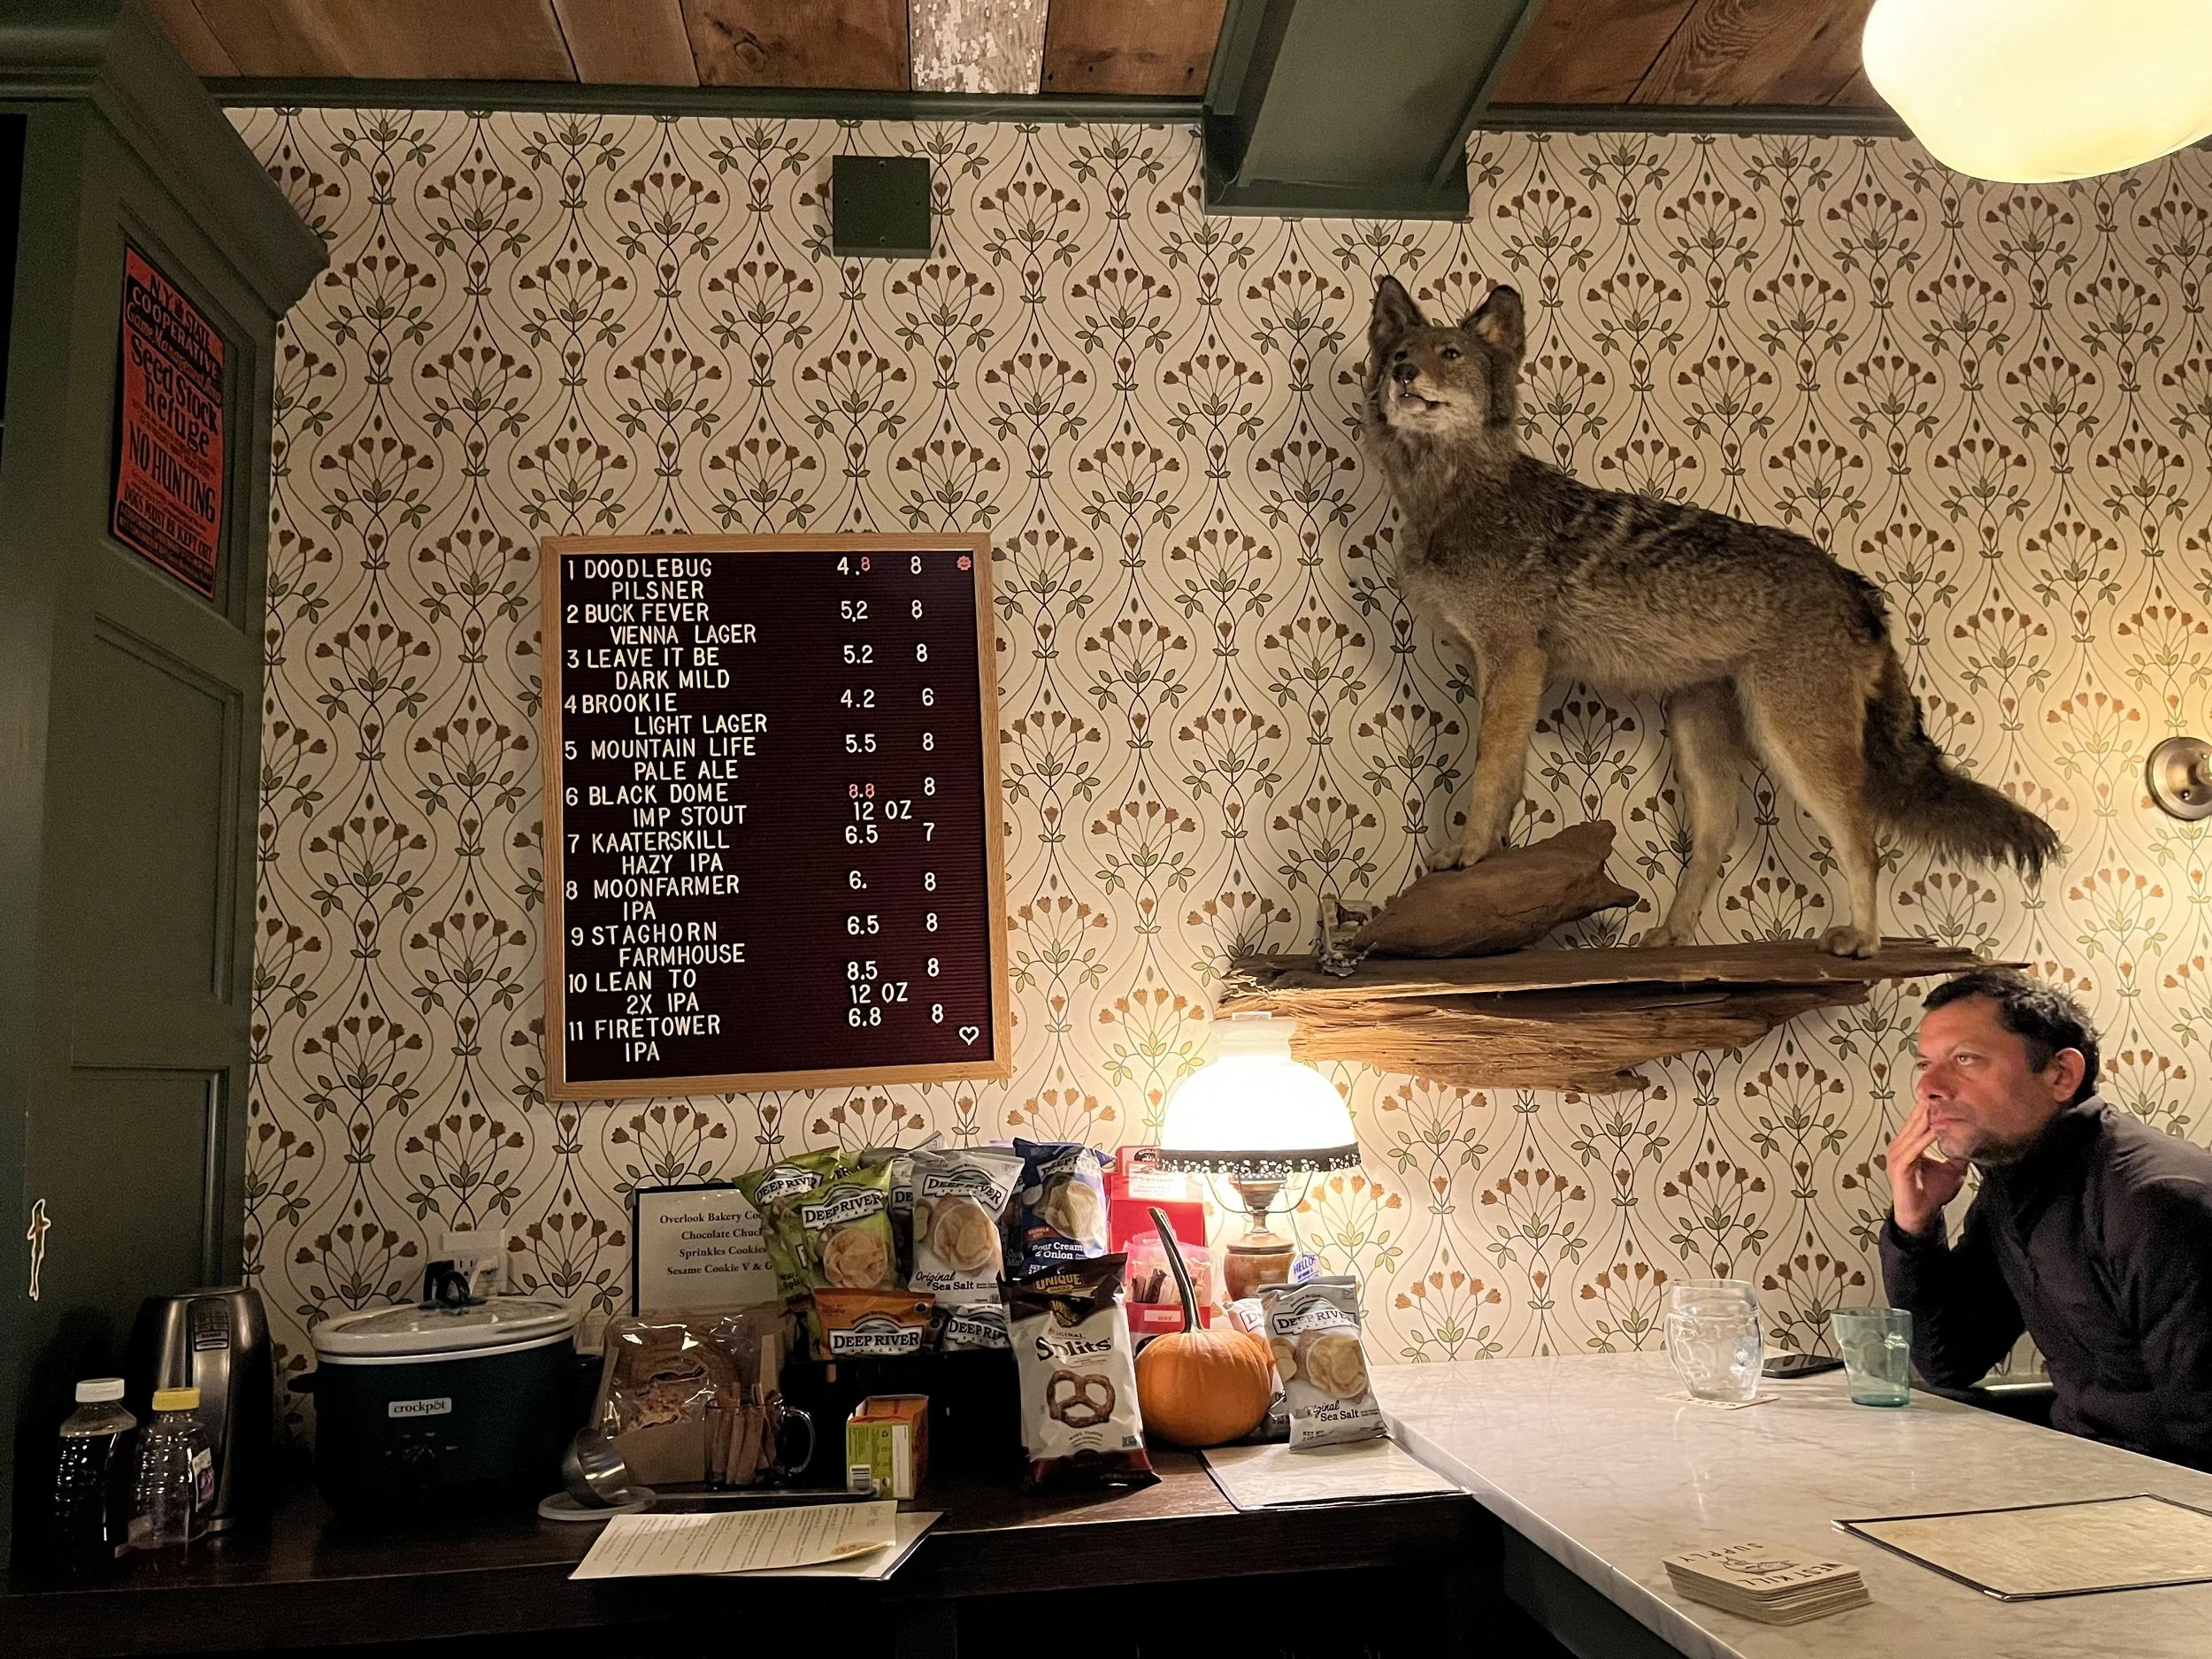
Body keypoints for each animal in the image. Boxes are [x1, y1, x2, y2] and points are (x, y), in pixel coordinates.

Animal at [1361, 276, 2057, 957]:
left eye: (1450, 354)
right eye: (1399, 352)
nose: (1402, 372)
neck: (1452, 497)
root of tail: (1855, 584)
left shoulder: (1514, 661)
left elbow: (1487, 774)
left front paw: (1469, 851)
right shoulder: (1496, 667)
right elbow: (1504, 777)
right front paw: (1492, 856)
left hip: (1791, 741)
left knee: (1864, 842)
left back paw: (1861, 940)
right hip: (1698, 738)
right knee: (1718, 838)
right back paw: (1672, 935)